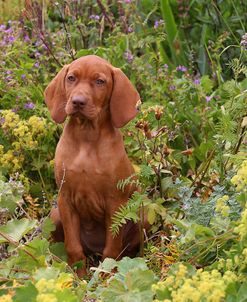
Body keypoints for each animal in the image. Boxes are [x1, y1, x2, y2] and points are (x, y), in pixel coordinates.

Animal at [44, 54, 143, 276]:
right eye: (71, 78)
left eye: (100, 81)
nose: (77, 102)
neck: (86, 136)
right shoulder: (65, 199)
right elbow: (73, 247)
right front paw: (79, 277)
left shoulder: (116, 202)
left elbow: (111, 250)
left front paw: (105, 277)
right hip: (55, 215)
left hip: (141, 215)